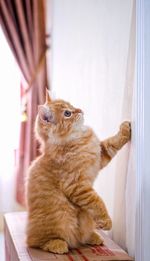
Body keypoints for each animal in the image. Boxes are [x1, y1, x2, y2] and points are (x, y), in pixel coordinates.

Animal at [26, 90, 131, 253]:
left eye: (72, 105)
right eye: (67, 113)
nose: (80, 110)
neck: (76, 139)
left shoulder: (100, 155)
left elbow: (112, 143)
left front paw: (125, 129)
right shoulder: (76, 186)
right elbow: (97, 202)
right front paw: (106, 220)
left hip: (85, 218)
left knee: (81, 235)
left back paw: (92, 237)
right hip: (61, 217)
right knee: (36, 242)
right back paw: (57, 244)